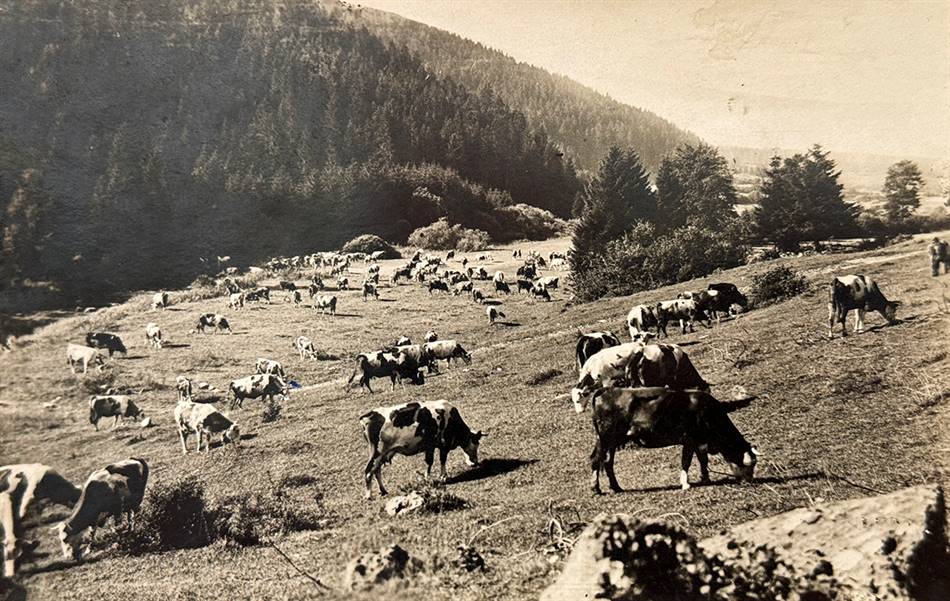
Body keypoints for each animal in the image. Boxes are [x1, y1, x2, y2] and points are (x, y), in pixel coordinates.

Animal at [360, 398, 488, 496]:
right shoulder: (442, 445)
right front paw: (442, 477)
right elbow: (440, 460)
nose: (475, 462)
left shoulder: (430, 446)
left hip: (382, 455)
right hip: (377, 452)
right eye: (476, 443)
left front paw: (429, 478)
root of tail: (370, 414)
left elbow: (429, 462)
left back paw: (383, 490)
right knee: (369, 471)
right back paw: (369, 495)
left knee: (377, 471)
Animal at [588, 386, 760, 494]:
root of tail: (608, 390)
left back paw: (616, 487)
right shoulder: (689, 439)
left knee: (607, 462)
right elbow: (686, 461)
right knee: (597, 460)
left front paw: (705, 478)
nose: (750, 481)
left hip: (610, 441)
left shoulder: (700, 441)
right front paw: (685, 484)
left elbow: (703, 460)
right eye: (748, 464)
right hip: (606, 438)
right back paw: (596, 488)